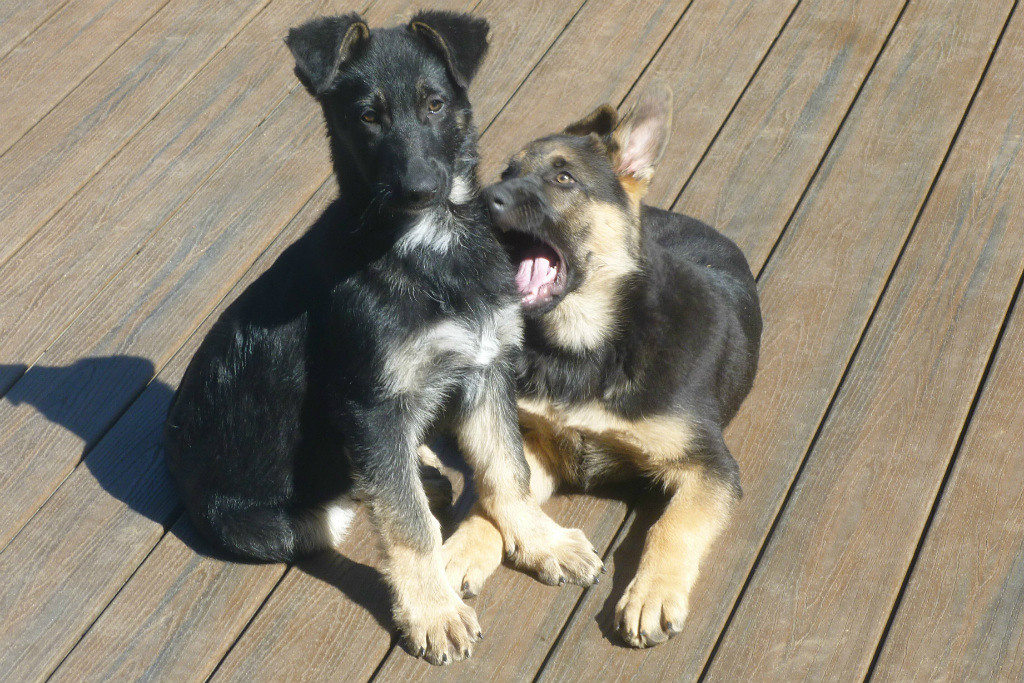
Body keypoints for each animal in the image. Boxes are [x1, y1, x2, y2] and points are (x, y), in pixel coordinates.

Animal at [164, 12, 602, 665]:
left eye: (435, 104)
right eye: (367, 117)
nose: (421, 188)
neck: (430, 248)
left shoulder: (485, 367)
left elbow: (508, 470)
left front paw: (539, 541)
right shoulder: (370, 406)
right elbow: (409, 524)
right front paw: (433, 609)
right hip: (266, 525)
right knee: (347, 506)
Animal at [442, 87, 762, 648]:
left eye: (563, 178)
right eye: (506, 172)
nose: (483, 200)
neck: (587, 345)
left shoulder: (711, 468)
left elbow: (671, 526)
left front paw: (652, 594)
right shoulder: (540, 443)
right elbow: (500, 490)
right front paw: (464, 547)